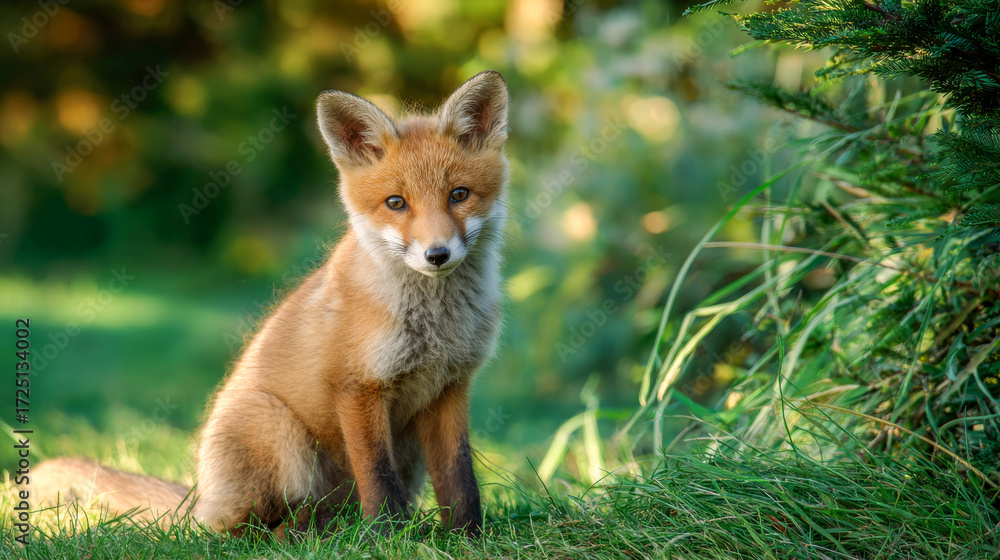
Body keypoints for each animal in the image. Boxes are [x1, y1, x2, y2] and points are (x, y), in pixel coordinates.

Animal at [30, 70, 511, 538]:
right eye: (396, 203)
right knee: (242, 531)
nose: (437, 255)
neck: (435, 326)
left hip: (403, 456)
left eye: (459, 195)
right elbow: (377, 477)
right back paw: (308, 537)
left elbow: (459, 478)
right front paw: (389, 539)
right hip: (280, 437)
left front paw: (468, 537)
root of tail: (199, 500)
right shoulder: (356, 387)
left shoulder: (450, 387)